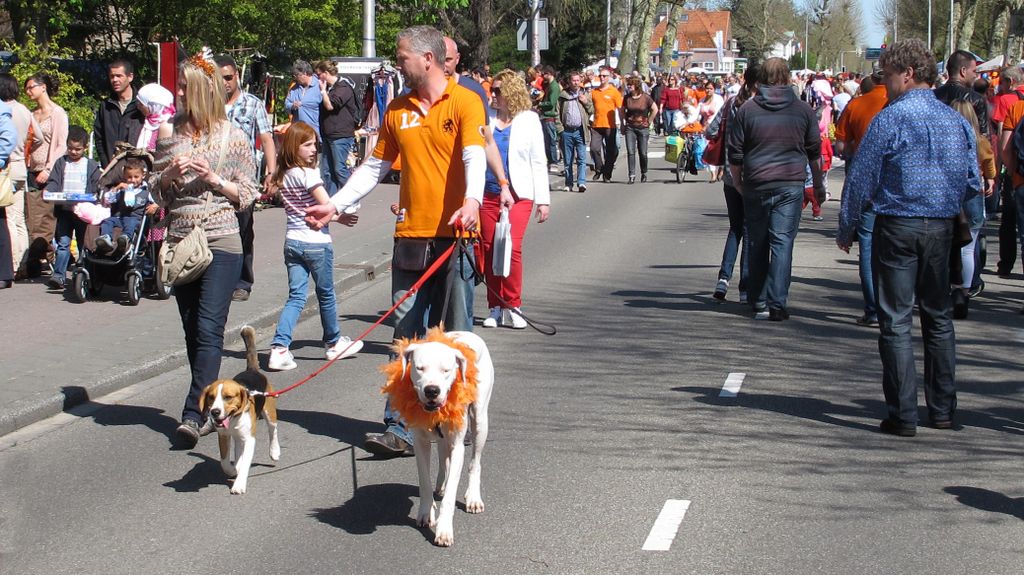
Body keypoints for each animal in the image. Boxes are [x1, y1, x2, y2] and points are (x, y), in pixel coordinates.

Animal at [385, 327, 495, 544]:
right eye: (419, 368)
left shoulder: (458, 446)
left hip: (479, 420)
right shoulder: (420, 444)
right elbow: (424, 481)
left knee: (475, 462)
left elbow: (451, 492)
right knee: (444, 459)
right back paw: (440, 485)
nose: (432, 390)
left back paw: (473, 497)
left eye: (446, 370)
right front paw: (426, 513)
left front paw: (444, 529)